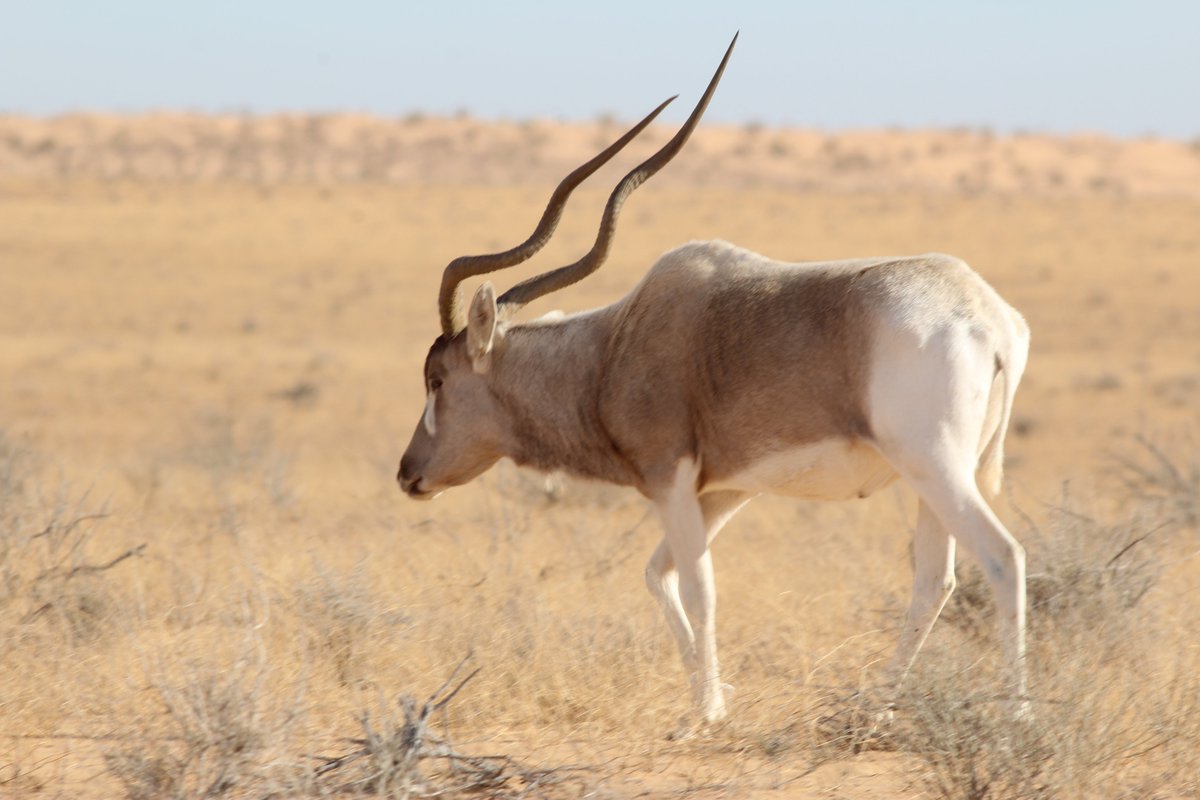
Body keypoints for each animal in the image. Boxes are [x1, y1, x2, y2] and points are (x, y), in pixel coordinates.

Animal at [397, 35, 1031, 728]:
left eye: (436, 379)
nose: (408, 474)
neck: (610, 349)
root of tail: (991, 319)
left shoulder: (670, 478)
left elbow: (701, 591)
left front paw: (704, 714)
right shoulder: (724, 490)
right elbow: (661, 576)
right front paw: (711, 700)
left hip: (935, 465)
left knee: (1002, 558)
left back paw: (1016, 715)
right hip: (928, 479)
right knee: (934, 580)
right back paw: (876, 709)